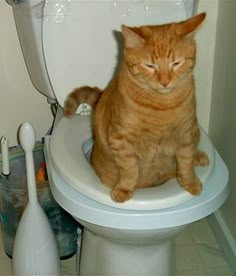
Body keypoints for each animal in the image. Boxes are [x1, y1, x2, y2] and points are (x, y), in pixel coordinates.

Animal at [64, 13, 208, 203]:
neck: (162, 107)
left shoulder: (186, 133)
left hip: (195, 132)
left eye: (176, 63)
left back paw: (198, 156)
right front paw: (124, 188)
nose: (165, 81)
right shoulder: (121, 139)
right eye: (150, 66)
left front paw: (190, 182)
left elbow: (185, 163)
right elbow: (130, 170)